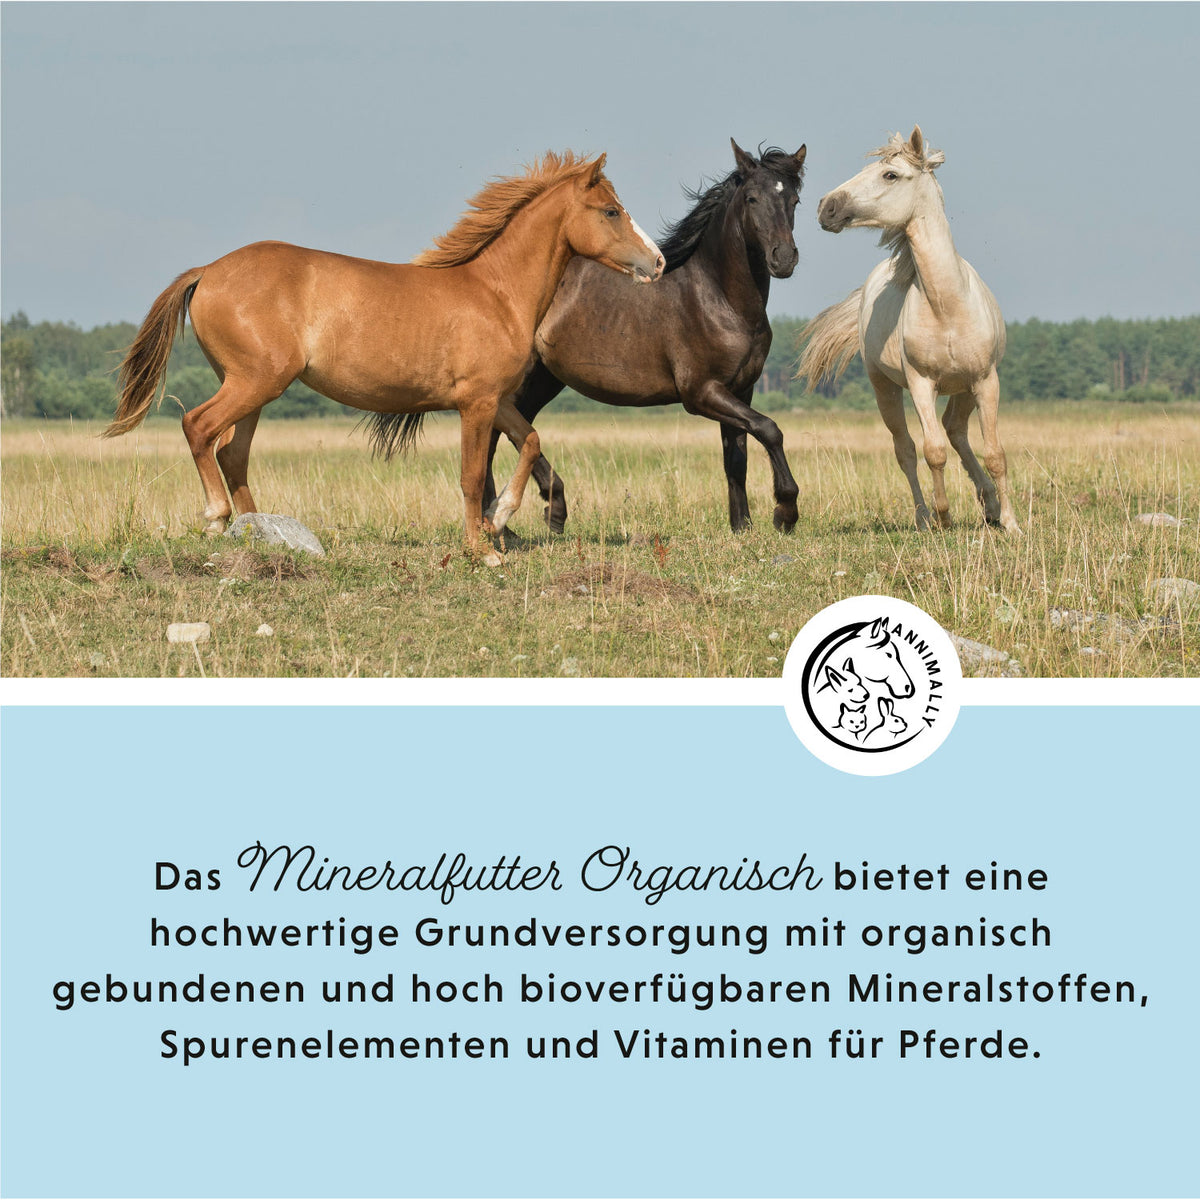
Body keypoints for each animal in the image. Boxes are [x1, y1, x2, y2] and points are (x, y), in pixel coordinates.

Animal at [103, 152, 664, 565]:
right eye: (611, 211)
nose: (657, 262)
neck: (496, 293)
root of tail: (208, 270)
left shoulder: (497, 400)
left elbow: (530, 442)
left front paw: (500, 518)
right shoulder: (477, 404)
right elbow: (470, 475)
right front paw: (481, 549)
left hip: (254, 389)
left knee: (231, 453)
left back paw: (259, 531)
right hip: (254, 382)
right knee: (198, 427)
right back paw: (218, 519)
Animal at [482, 140, 807, 535]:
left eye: (794, 200)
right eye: (752, 198)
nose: (784, 258)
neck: (719, 298)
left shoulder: (740, 390)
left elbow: (736, 458)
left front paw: (741, 527)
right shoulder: (701, 392)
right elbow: (769, 429)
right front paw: (785, 512)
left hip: (544, 379)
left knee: (514, 430)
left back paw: (539, 514)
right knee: (494, 435)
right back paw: (508, 520)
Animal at [797, 126, 1020, 534]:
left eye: (890, 175)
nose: (826, 207)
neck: (947, 307)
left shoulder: (986, 381)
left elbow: (995, 453)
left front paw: (1011, 523)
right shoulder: (920, 384)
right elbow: (933, 452)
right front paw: (944, 516)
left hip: (965, 388)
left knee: (956, 430)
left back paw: (990, 505)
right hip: (884, 387)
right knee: (907, 450)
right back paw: (924, 517)